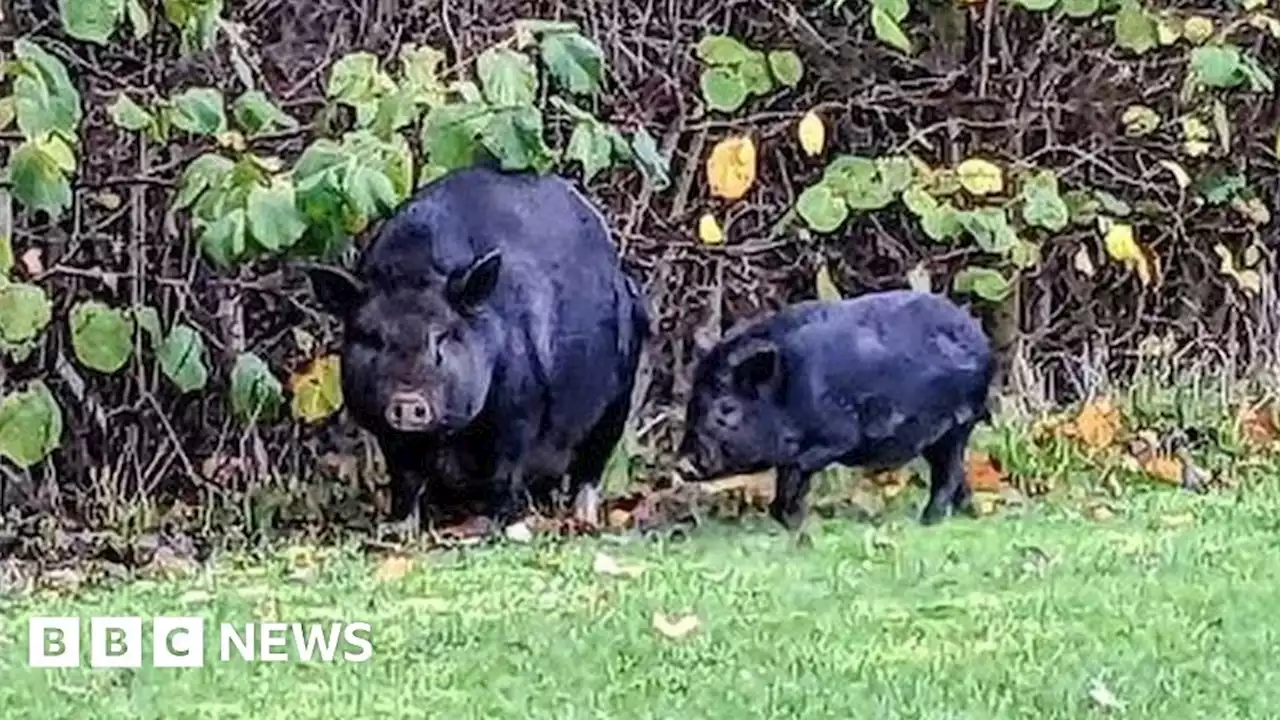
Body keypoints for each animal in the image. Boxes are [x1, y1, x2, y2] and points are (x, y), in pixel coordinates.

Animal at [300, 163, 650, 532]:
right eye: (372, 337)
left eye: (442, 337)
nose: (408, 401)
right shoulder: (388, 434)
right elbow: (404, 479)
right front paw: (399, 527)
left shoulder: (520, 409)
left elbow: (505, 471)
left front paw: (501, 525)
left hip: (618, 399)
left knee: (591, 465)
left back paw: (583, 519)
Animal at [675, 288, 993, 535]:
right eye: (693, 400)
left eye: (727, 407)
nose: (683, 464)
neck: (788, 386)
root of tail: (981, 338)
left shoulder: (835, 439)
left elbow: (797, 473)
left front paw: (798, 525)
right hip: (940, 437)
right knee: (955, 473)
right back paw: (969, 514)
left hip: (959, 423)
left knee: (949, 473)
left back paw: (928, 522)